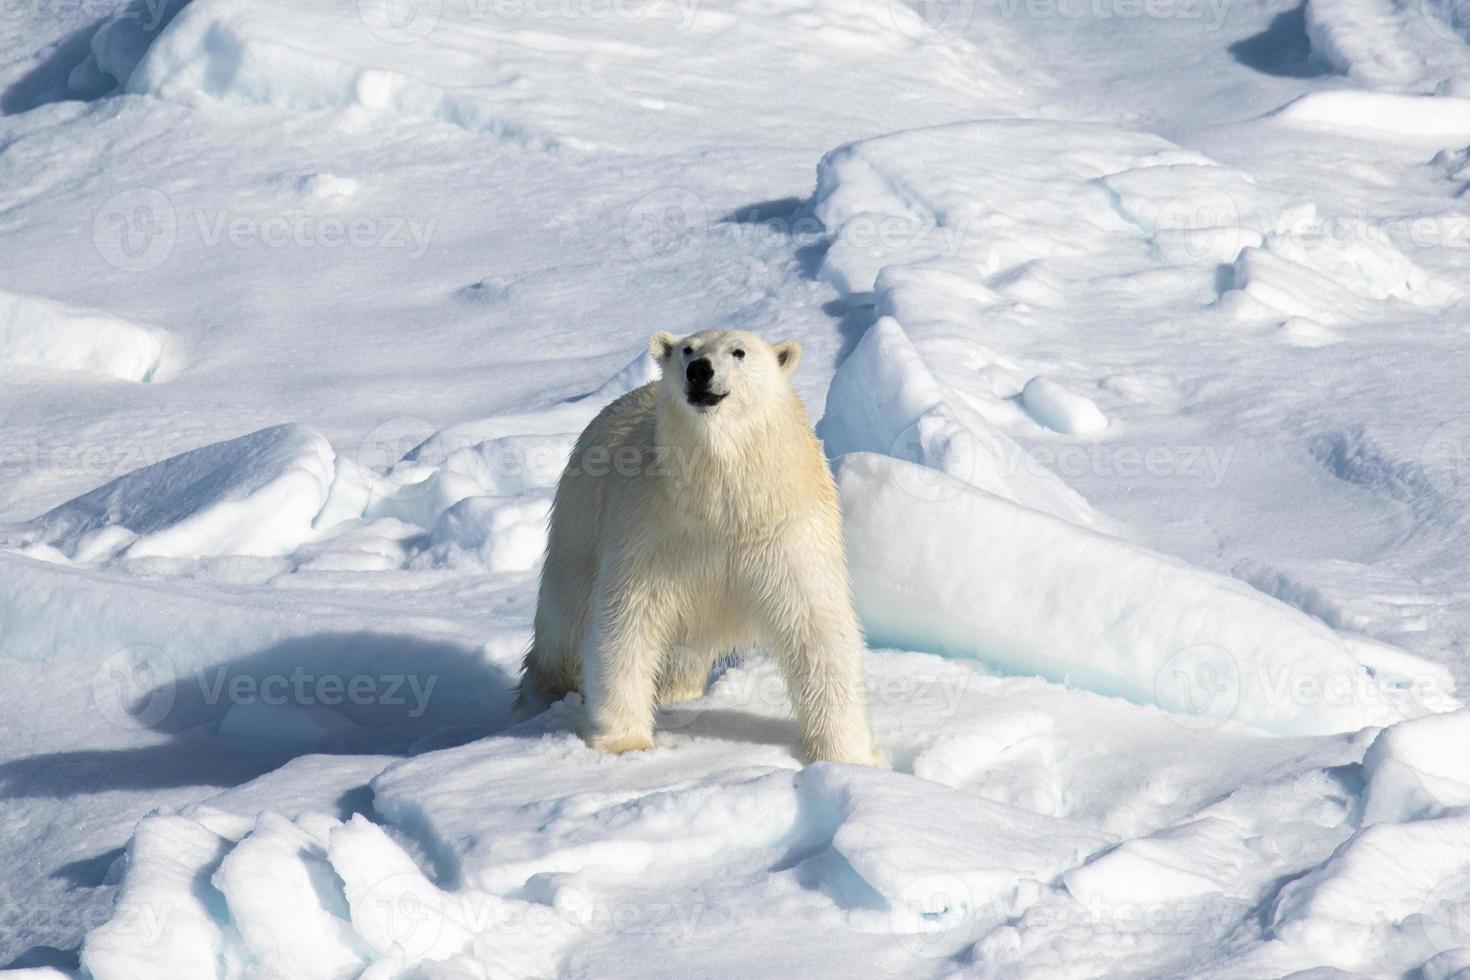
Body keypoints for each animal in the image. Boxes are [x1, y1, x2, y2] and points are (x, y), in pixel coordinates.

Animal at [520, 329, 882, 764]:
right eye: (687, 349)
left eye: (739, 352)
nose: (699, 371)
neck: (721, 500)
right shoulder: (650, 528)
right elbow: (627, 619)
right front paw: (625, 743)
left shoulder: (786, 530)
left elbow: (815, 626)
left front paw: (847, 756)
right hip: (578, 522)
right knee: (564, 620)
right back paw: (542, 700)